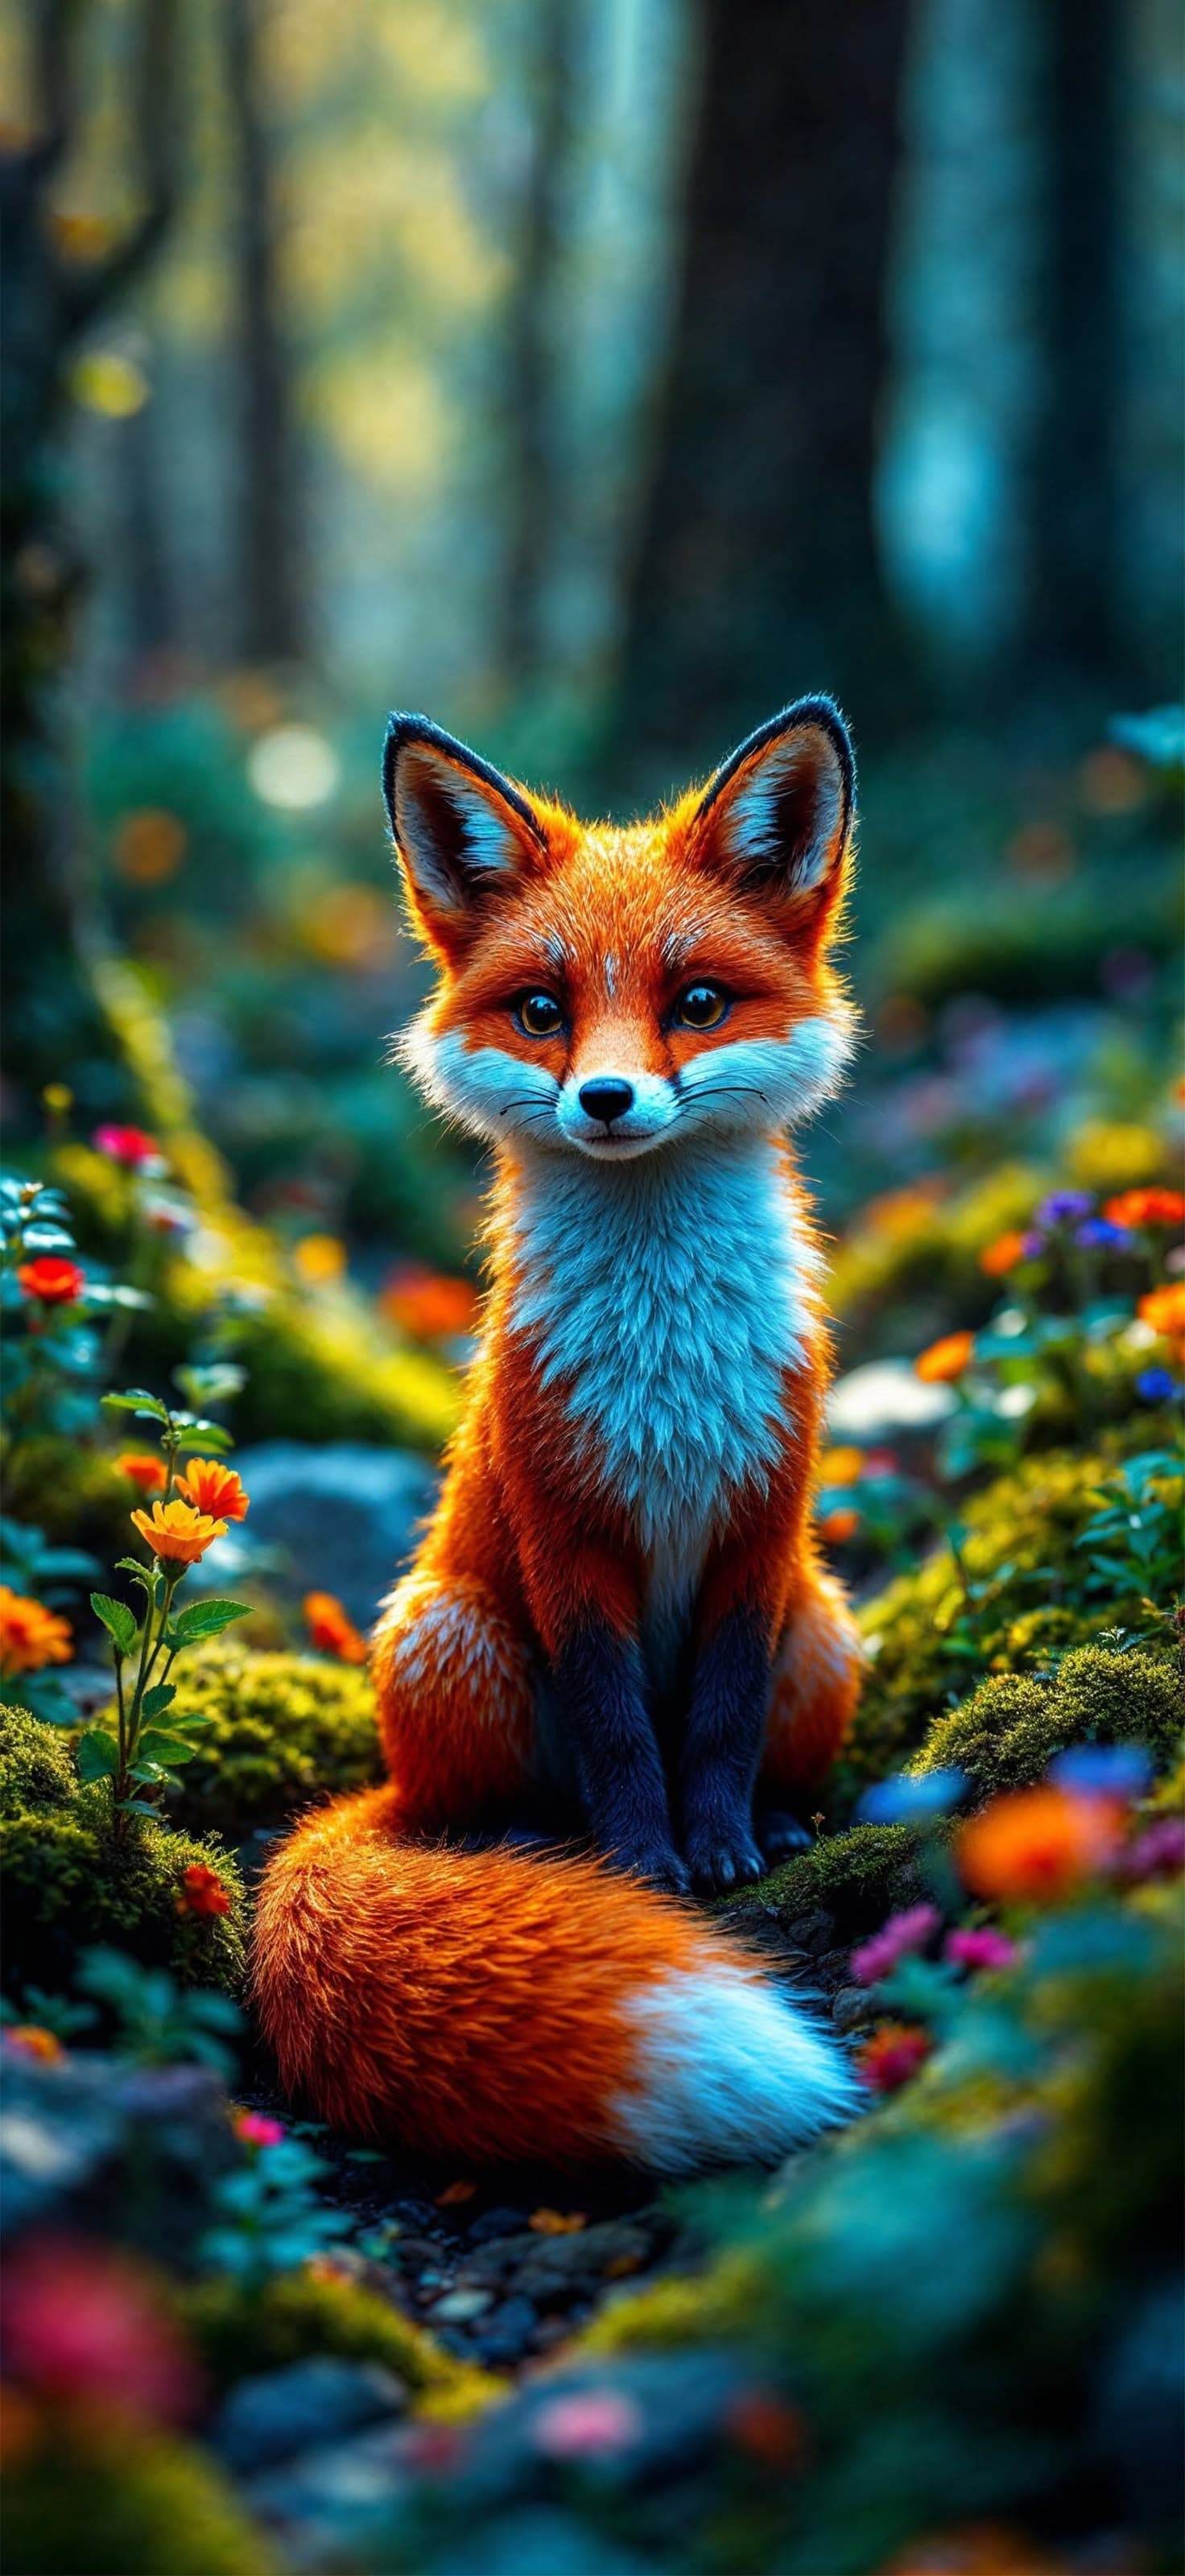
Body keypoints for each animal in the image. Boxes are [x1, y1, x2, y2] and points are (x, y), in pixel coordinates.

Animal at [253, 695, 866, 2171]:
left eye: (695, 1005)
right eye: (543, 1012)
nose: (606, 1101)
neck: (664, 1367)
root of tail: (385, 1788)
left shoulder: (761, 1524)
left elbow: (716, 1718)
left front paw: (720, 1848)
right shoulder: (562, 1529)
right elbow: (616, 1727)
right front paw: (645, 1870)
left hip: (825, 1629)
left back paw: (777, 1818)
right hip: (451, 1634)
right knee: (499, 1818)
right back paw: (544, 1861)